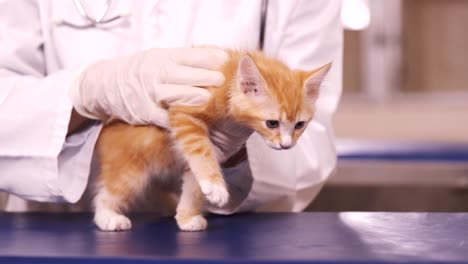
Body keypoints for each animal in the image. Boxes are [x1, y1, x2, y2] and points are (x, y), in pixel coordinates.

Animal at [93, 50, 330, 232]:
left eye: (299, 125)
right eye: (272, 123)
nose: (286, 145)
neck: (228, 79)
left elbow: (194, 183)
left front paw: (188, 215)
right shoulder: (185, 112)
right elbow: (201, 151)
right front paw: (215, 186)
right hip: (130, 168)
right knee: (110, 192)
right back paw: (108, 216)